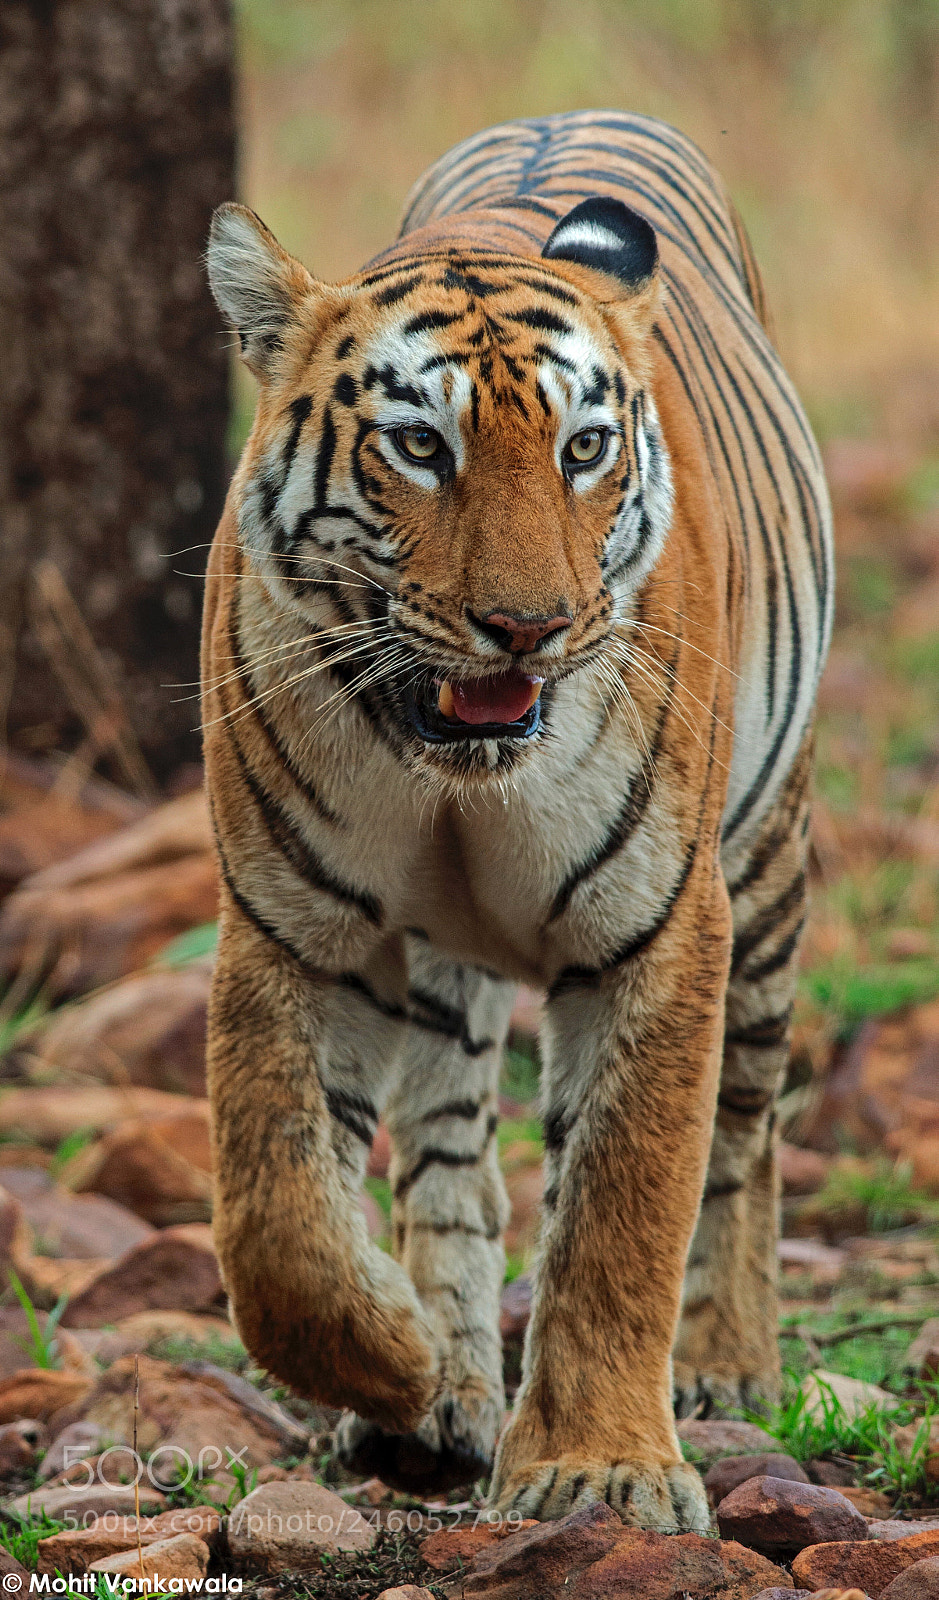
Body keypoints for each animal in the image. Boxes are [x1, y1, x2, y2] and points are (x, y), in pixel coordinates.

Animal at [202, 109, 832, 1532]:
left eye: (583, 448)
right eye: (420, 447)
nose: (529, 626)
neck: (452, 778)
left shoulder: (663, 927)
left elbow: (622, 1206)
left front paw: (600, 1469)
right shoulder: (289, 930)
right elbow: (277, 1219)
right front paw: (395, 1360)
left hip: (768, 876)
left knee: (749, 1129)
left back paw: (726, 1358)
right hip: (444, 969)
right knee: (449, 1155)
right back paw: (443, 1394)